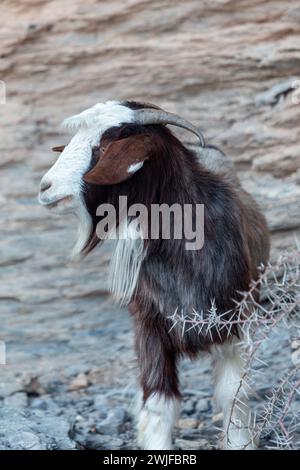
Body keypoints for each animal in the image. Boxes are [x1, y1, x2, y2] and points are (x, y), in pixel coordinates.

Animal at [38, 101, 270, 450]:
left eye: (102, 147)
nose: (45, 187)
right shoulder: (149, 325)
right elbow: (159, 402)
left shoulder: (233, 321)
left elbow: (234, 394)